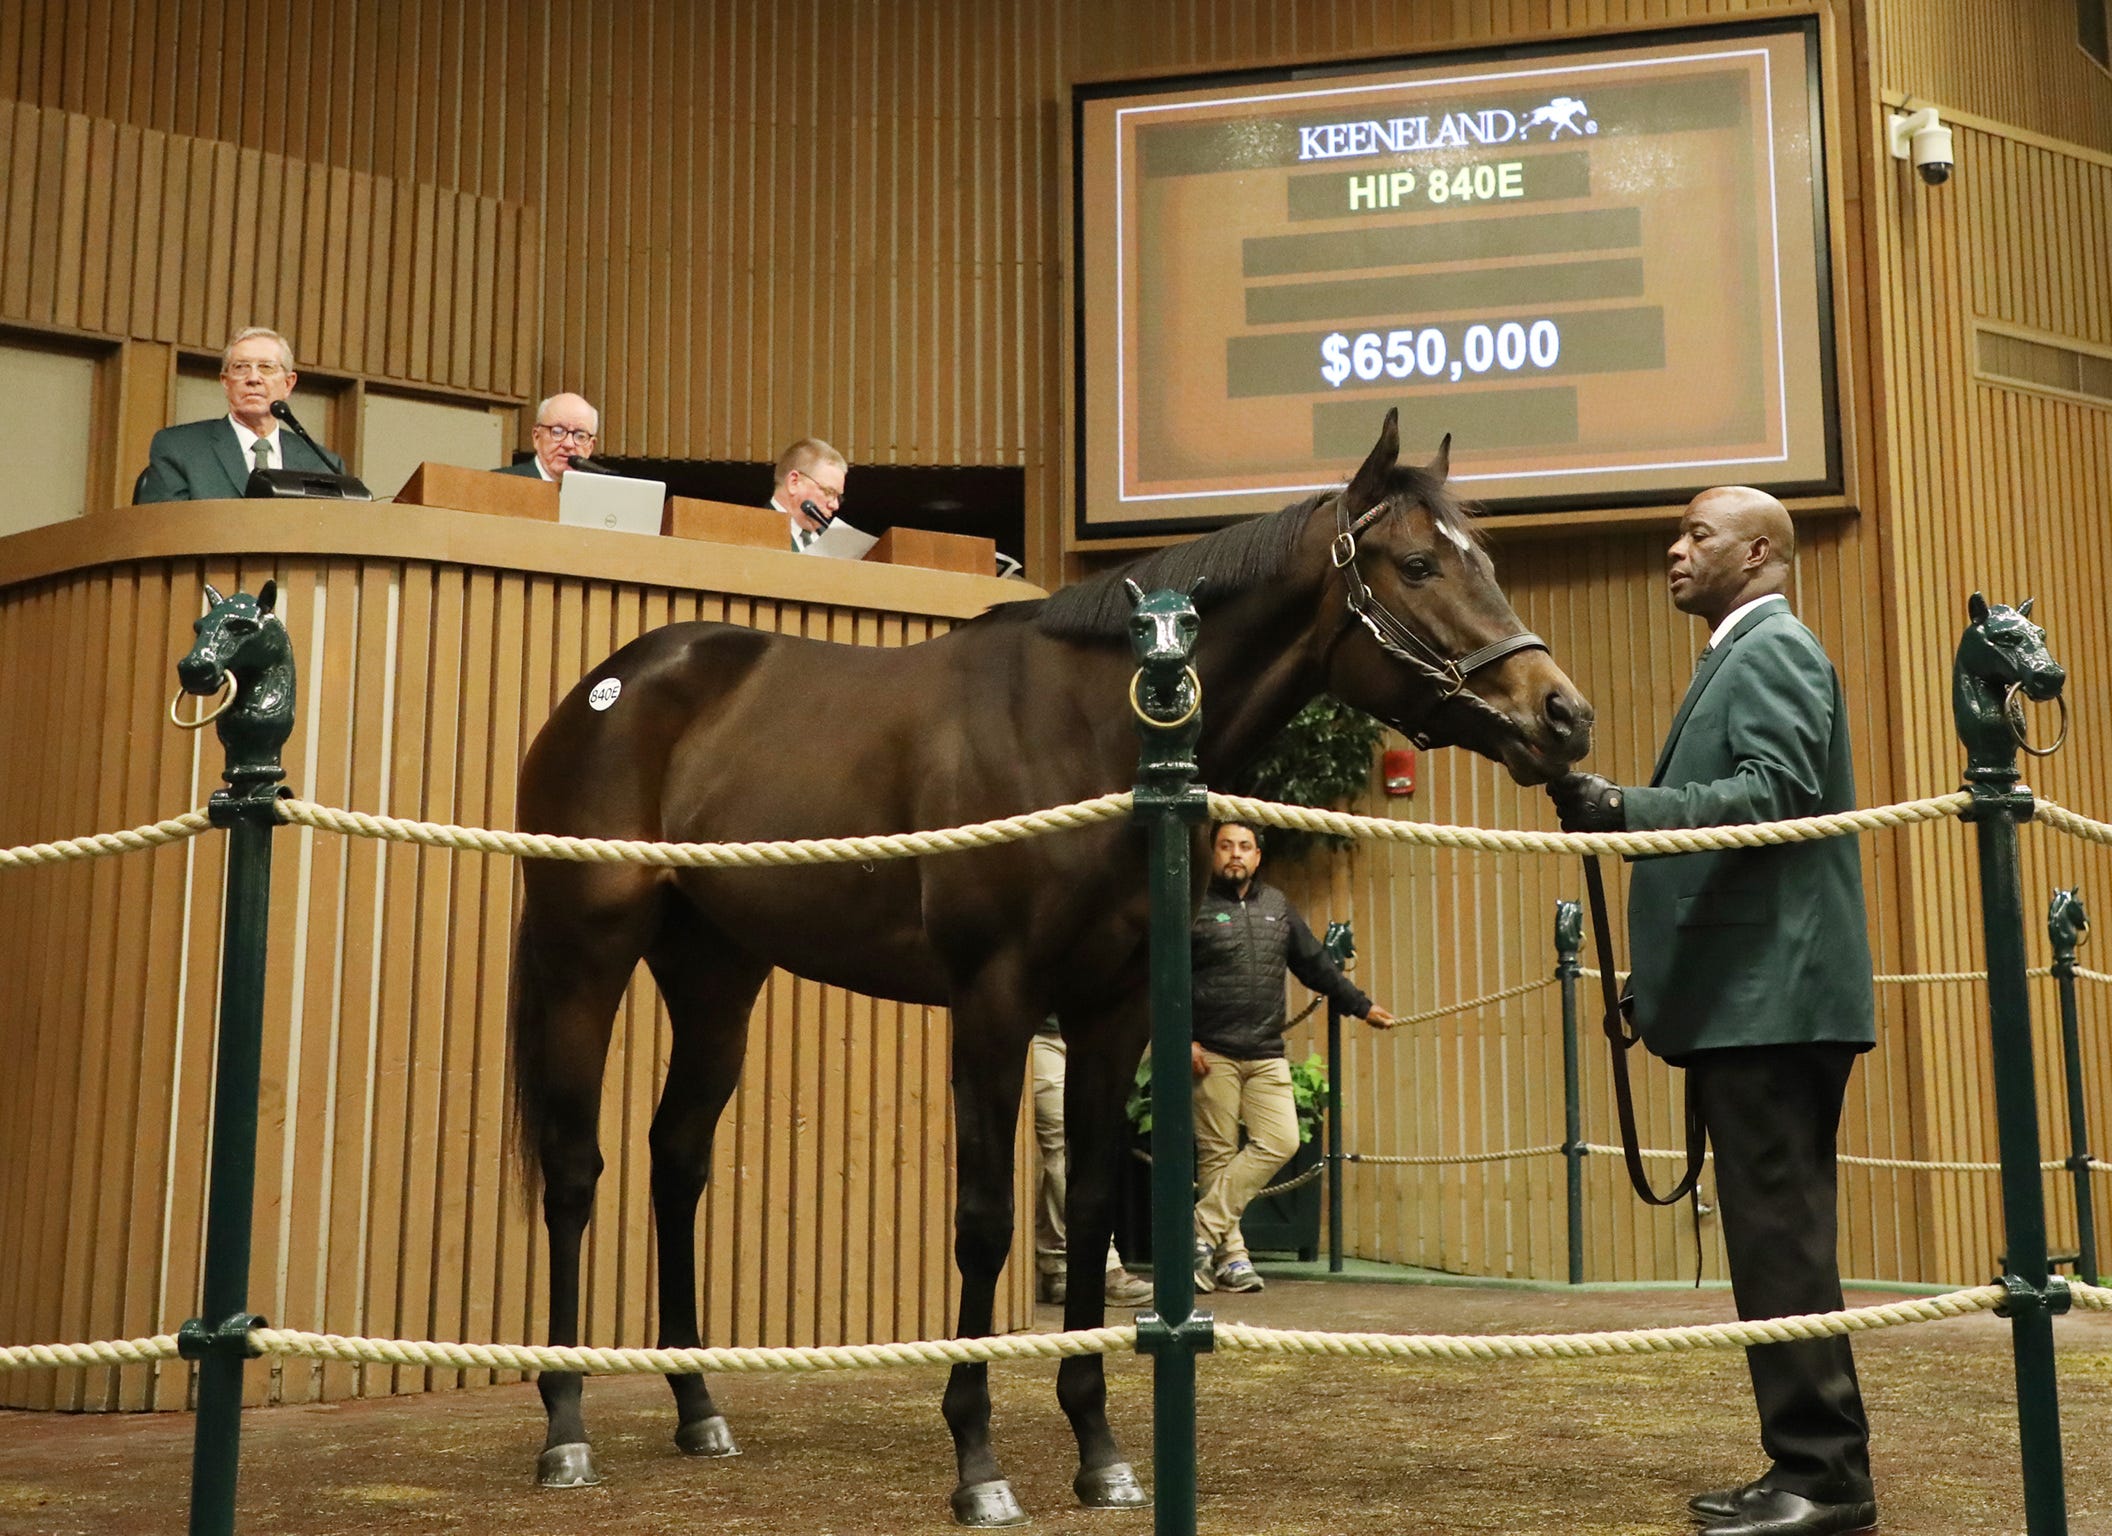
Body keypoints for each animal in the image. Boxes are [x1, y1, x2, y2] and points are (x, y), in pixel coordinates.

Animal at [506, 411, 1588, 1529]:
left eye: (1485, 561)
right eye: (1418, 564)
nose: (1563, 715)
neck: (1085, 731)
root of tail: (615, 684)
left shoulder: (1114, 1013)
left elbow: (1103, 1204)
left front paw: (1100, 1452)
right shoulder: (993, 1003)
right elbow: (984, 1222)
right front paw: (977, 1460)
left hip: (717, 972)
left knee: (676, 1158)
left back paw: (697, 1406)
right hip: (586, 951)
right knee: (576, 1167)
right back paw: (566, 1422)